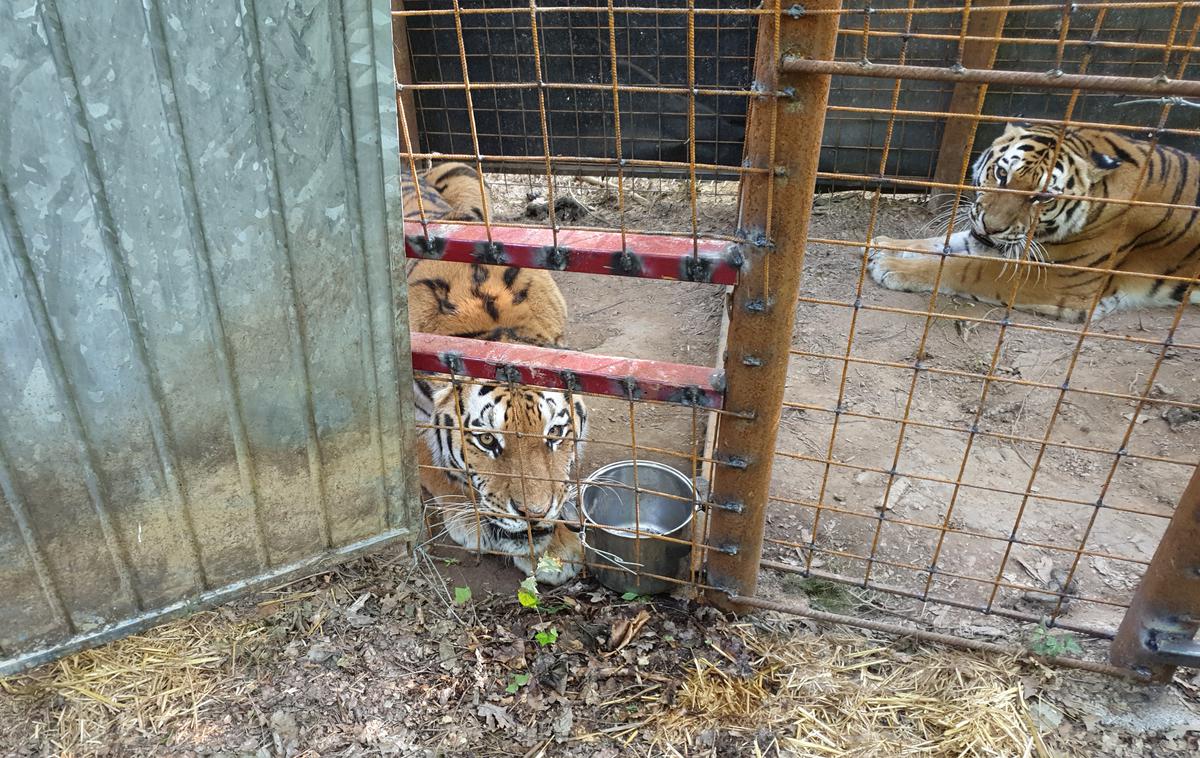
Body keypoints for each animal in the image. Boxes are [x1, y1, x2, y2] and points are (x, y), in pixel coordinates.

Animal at [873, 123, 1200, 323]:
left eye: (1041, 197)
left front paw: (892, 267)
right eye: (1002, 174)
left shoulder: (1062, 278)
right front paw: (883, 245)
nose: (992, 227)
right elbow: (944, 243)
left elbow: (967, 268)